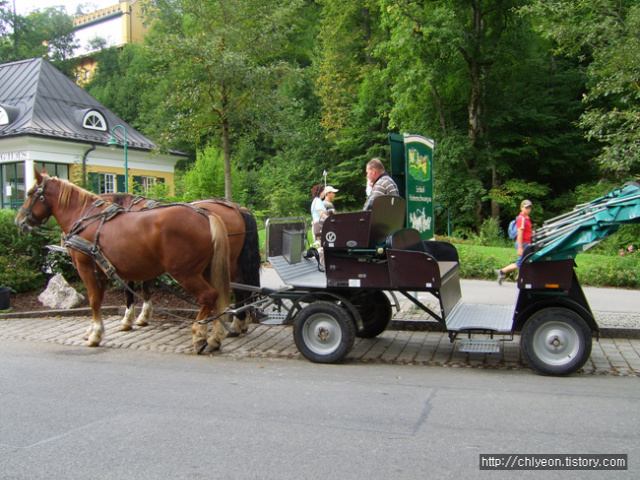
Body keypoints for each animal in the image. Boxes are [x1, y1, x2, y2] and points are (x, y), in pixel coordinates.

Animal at [16, 171, 232, 354]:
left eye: (30, 193)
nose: (18, 221)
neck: (84, 217)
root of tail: (205, 214)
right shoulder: (104, 271)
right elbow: (101, 299)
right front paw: (93, 329)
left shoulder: (87, 269)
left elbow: (95, 300)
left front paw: (96, 334)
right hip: (205, 271)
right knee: (217, 299)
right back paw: (215, 337)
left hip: (185, 273)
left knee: (208, 296)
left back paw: (199, 335)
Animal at [100, 193, 260, 336]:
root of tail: (238, 208)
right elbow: (145, 287)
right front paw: (144, 316)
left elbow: (130, 289)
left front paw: (128, 320)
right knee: (243, 286)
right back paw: (242, 323)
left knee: (237, 287)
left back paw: (236, 323)